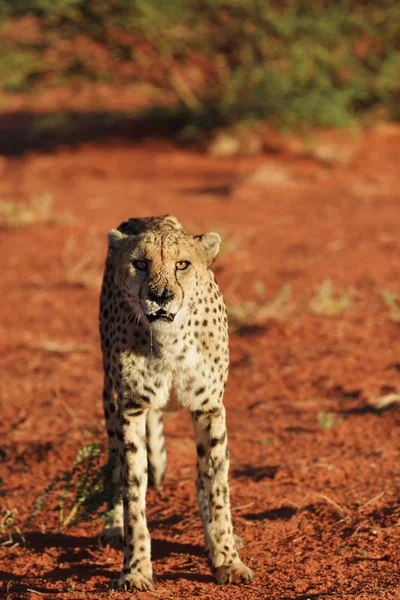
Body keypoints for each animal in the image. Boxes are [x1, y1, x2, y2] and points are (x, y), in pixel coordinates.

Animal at [99, 214, 253, 592]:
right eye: (140, 264)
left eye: (181, 265)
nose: (160, 296)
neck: (169, 338)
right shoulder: (131, 407)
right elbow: (133, 491)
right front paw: (136, 569)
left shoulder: (209, 407)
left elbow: (215, 486)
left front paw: (226, 558)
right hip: (110, 399)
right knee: (114, 465)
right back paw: (112, 523)